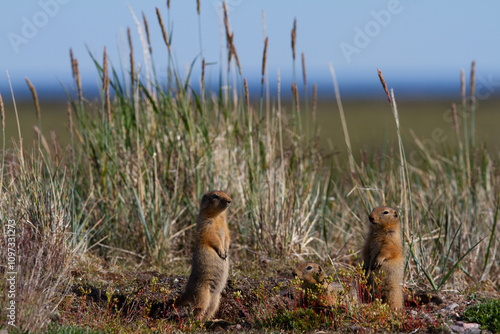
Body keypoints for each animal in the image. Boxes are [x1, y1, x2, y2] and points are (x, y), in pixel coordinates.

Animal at [175, 189, 231, 320]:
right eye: (215, 196)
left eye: (226, 193)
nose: (230, 201)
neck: (217, 217)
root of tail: (187, 292)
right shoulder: (206, 225)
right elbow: (212, 238)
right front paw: (222, 252)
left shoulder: (226, 227)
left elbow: (227, 237)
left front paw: (226, 251)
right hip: (202, 294)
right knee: (198, 309)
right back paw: (197, 321)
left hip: (216, 298)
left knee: (209, 311)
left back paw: (212, 320)